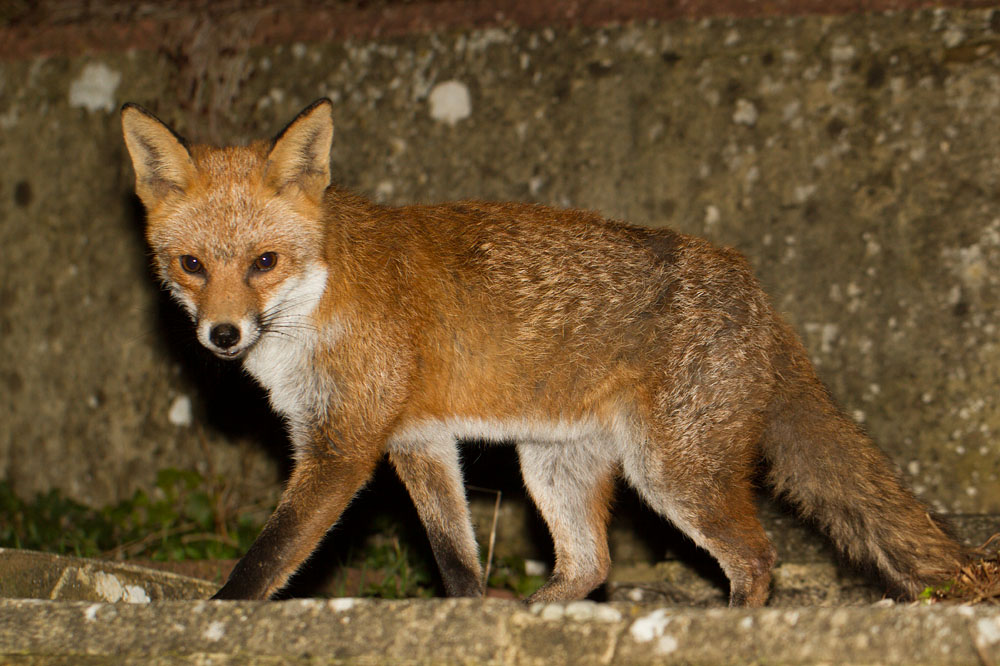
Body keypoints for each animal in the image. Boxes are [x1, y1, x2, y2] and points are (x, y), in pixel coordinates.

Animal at [121, 98, 967, 607]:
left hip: (673, 472)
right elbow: (455, 557)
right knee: (592, 565)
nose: (223, 335)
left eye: (263, 262)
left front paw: (220, 618)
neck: (318, 297)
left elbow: (265, 561)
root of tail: (759, 296)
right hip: (552, 463)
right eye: (192, 266)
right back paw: (540, 612)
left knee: (757, 558)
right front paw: (473, 616)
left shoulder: (343, 449)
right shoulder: (418, 440)